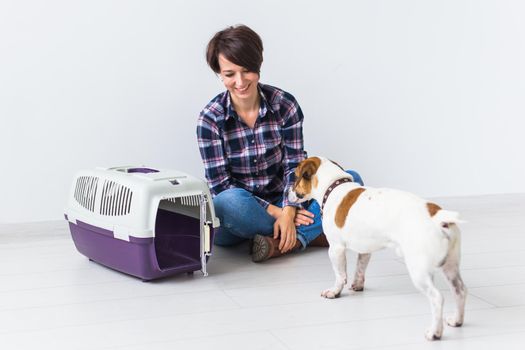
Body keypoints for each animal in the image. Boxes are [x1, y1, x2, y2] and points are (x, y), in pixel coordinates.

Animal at [286, 157, 466, 340]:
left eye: (295, 176)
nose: (287, 193)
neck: (334, 186)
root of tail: (438, 216)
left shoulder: (336, 249)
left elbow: (340, 275)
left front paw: (335, 292)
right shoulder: (365, 250)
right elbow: (360, 269)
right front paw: (357, 285)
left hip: (419, 270)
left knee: (437, 298)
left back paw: (434, 332)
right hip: (451, 267)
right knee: (460, 290)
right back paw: (457, 320)